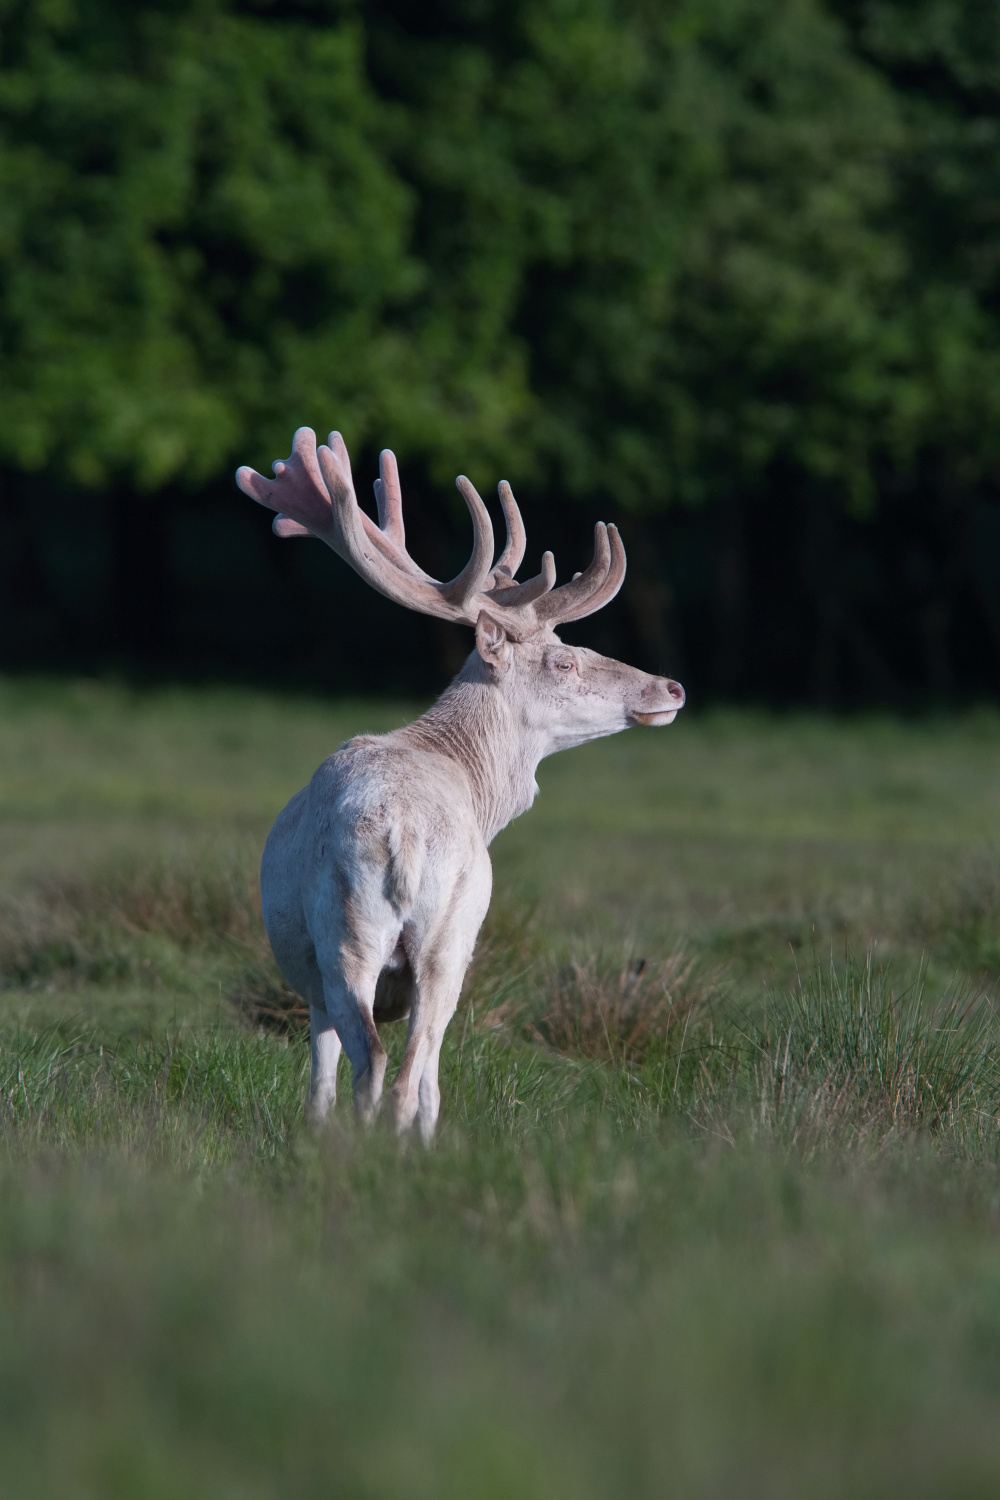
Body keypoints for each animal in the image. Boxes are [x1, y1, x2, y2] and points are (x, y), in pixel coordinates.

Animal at [238, 429, 683, 1140]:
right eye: (565, 660)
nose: (670, 687)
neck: (478, 786)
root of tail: (404, 834)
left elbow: (323, 1075)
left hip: (361, 938)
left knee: (382, 1059)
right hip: (439, 936)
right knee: (406, 1064)